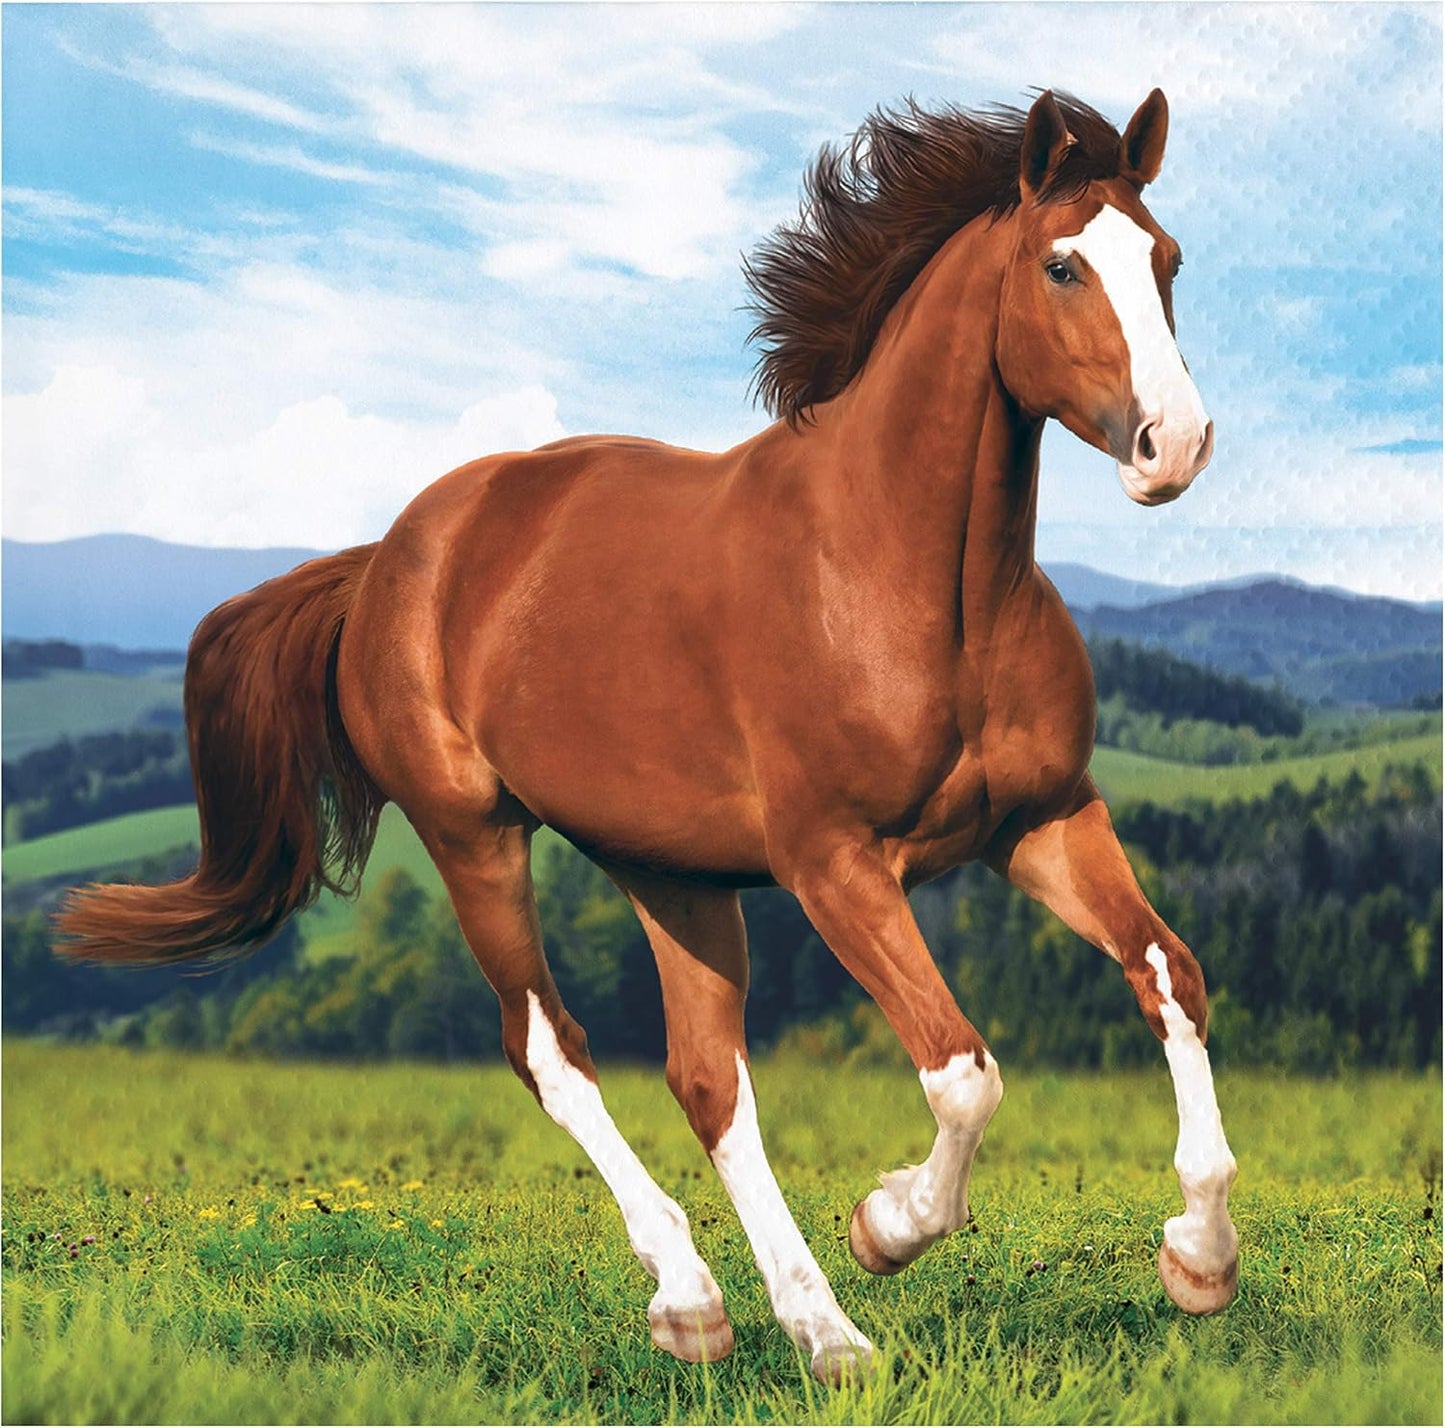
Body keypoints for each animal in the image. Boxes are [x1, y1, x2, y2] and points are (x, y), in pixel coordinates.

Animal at [57, 89, 1236, 1382]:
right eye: (1061, 264)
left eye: (1166, 259)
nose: (1173, 446)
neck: (900, 573)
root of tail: (387, 561)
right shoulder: (832, 863)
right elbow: (961, 1072)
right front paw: (886, 1225)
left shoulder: (1043, 819)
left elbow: (1169, 975)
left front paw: (1197, 1259)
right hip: (472, 835)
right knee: (551, 1050)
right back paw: (699, 1301)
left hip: (671, 871)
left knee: (706, 1079)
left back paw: (813, 1331)